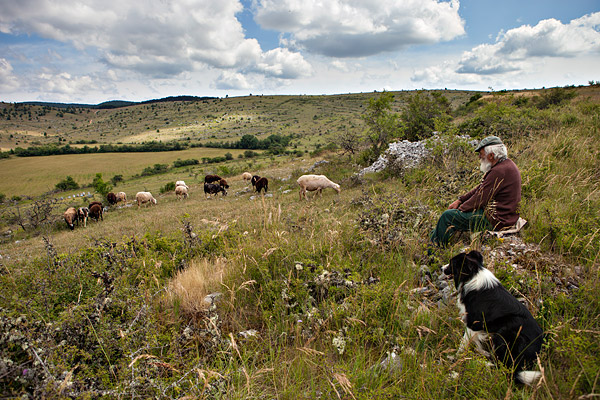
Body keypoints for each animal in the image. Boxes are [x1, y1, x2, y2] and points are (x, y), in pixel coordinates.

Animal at [440, 250, 544, 384]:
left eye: (451, 263)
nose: (441, 268)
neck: (473, 275)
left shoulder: (474, 323)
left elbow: (463, 343)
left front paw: (457, 356)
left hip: (505, 333)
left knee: (502, 366)